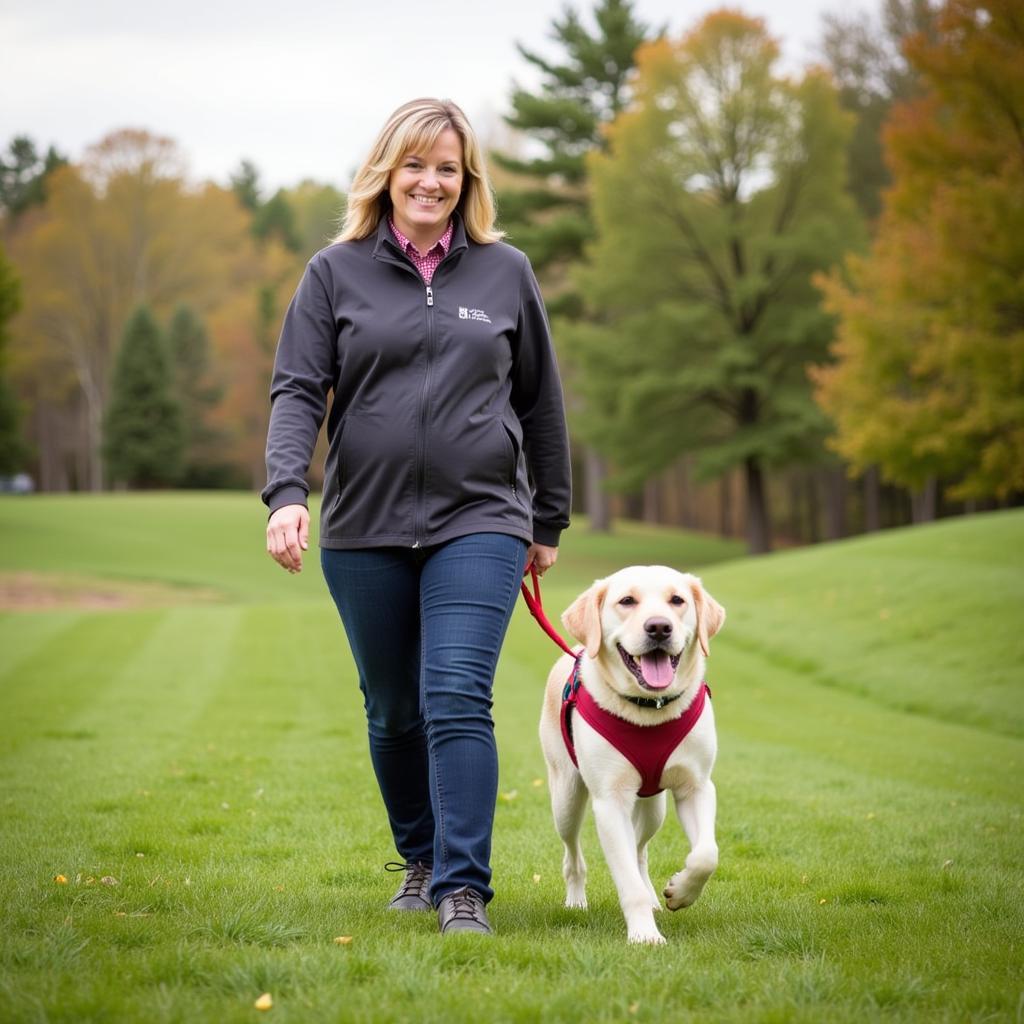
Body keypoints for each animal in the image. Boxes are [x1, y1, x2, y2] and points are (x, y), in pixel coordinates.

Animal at [540, 569, 724, 942]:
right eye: (627, 601)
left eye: (677, 600)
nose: (659, 627)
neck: (649, 708)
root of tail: (574, 649)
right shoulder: (610, 802)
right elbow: (627, 882)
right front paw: (645, 936)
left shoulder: (697, 787)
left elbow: (706, 855)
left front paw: (680, 892)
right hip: (566, 797)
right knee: (573, 854)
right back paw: (576, 900)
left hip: (655, 807)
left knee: (640, 850)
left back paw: (655, 897)